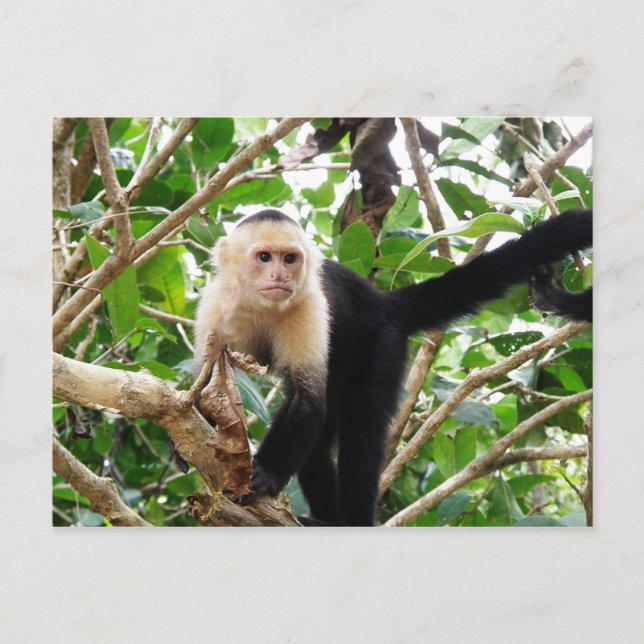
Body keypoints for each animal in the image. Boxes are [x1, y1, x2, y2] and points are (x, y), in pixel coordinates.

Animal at [194, 208, 592, 526]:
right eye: (264, 257)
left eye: (289, 259)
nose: (280, 277)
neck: (261, 305)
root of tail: (381, 303)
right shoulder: (214, 306)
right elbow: (207, 384)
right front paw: (189, 445)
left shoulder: (309, 306)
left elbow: (308, 403)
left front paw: (263, 475)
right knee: (321, 442)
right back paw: (328, 520)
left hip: (381, 342)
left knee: (359, 433)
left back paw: (352, 522)